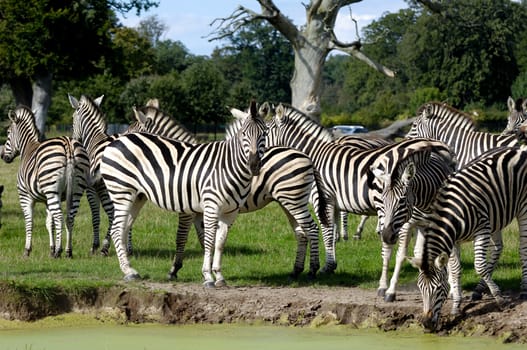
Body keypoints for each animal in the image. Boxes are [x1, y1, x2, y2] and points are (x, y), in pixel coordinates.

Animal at [0, 106, 89, 258]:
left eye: (8, 133)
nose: (3, 157)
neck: (27, 147)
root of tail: (68, 144)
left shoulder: (25, 196)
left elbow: (29, 222)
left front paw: (27, 250)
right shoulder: (47, 200)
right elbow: (49, 223)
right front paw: (51, 249)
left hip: (52, 190)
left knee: (59, 217)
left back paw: (59, 251)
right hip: (76, 190)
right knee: (70, 218)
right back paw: (68, 251)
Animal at [99, 100, 268, 284]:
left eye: (265, 133)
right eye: (244, 134)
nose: (254, 165)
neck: (227, 165)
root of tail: (114, 144)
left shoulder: (230, 211)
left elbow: (219, 242)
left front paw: (217, 274)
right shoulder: (203, 207)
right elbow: (203, 239)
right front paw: (206, 275)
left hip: (136, 196)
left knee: (122, 228)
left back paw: (129, 269)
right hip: (122, 192)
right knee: (117, 229)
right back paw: (128, 270)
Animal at [131, 103, 330, 278]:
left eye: (131, 133)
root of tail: (306, 156)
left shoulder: (188, 209)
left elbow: (182, 237)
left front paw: (175, 270)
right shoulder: (201, 208)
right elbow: (205, 237)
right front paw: (208, 267)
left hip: (294, 199)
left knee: (312, 228)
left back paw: (313, 270)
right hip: (288, 202)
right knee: (301, 232)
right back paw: (296, 271)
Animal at [370, 142, 456, 300]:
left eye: (402, 200)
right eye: (385, 200)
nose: (387, 235)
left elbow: (449, 256)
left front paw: (452, 287)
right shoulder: (406, 225)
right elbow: (400, 255)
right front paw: (391, 291)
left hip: (420, 226)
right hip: (386, 219)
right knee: (387, 251)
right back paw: (383, 286)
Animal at [410, 146, 527, 332]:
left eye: (438, 289)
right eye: (420, 288)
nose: (426, 324)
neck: (452, 213)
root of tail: (516, 148)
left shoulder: (482, 230)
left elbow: (479, 266)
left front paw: (500, 299)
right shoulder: (453, 241)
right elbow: (455, 270)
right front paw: (456, 307)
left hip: (522, 207)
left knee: (522, 248)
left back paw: (523, 289)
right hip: (496, 216)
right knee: (498, 247)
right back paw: (478, 290)